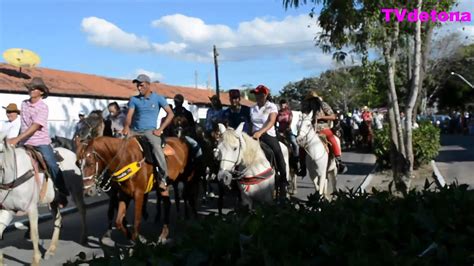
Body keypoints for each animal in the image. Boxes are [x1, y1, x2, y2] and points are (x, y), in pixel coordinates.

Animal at [0, 135, 86, 266]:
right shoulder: (8, 210)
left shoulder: (32, 209)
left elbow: (34, 234)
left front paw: (36, 260)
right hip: (53, 202)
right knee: (58, 220)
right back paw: (51, 250)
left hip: (76, 191)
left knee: (82, 211)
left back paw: (84, 238)